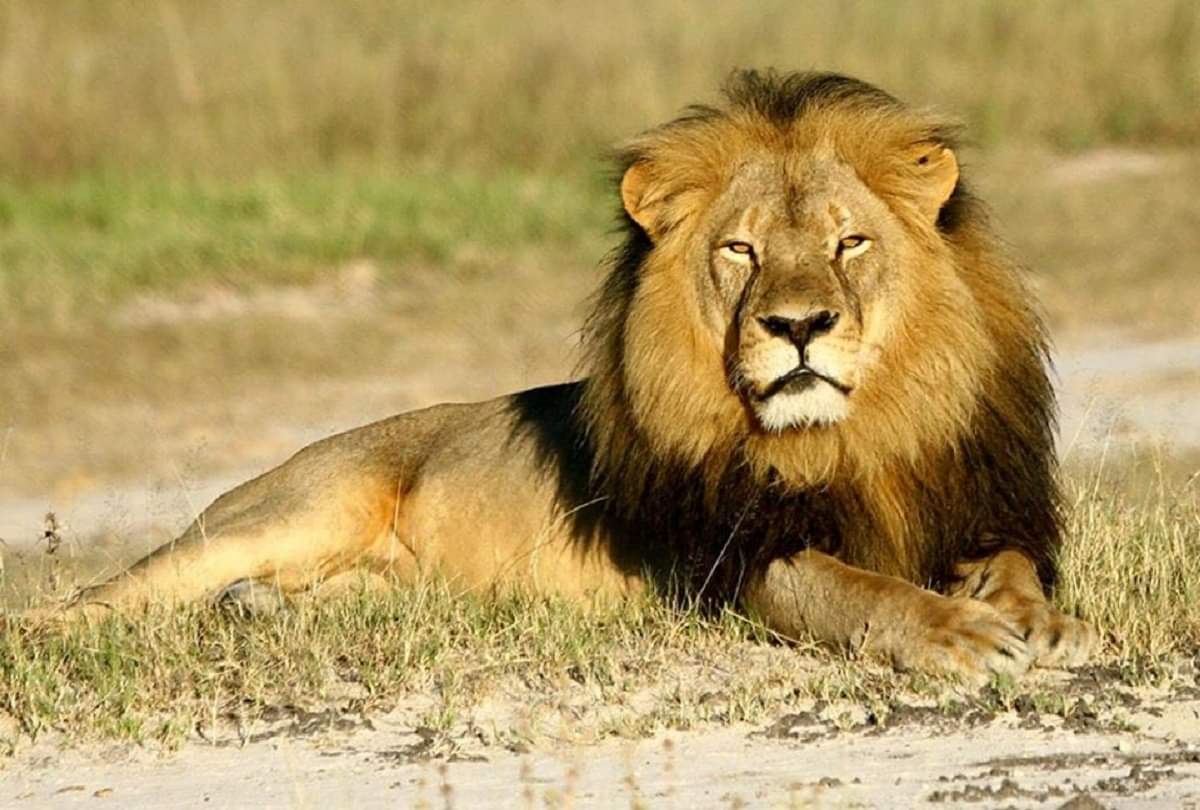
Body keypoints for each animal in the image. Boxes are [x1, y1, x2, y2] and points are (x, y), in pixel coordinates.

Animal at [47, 70, 1096, 680]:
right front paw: (956, 635)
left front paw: (1040, 622)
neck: (852, 436)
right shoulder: (730, 561)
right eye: (741, 251)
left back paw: (257, 609)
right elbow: (852, 590)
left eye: (850, 242)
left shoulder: (974, 504)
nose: (798, 326)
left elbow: (1009, 563)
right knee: (93, 598)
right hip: (294, 509)